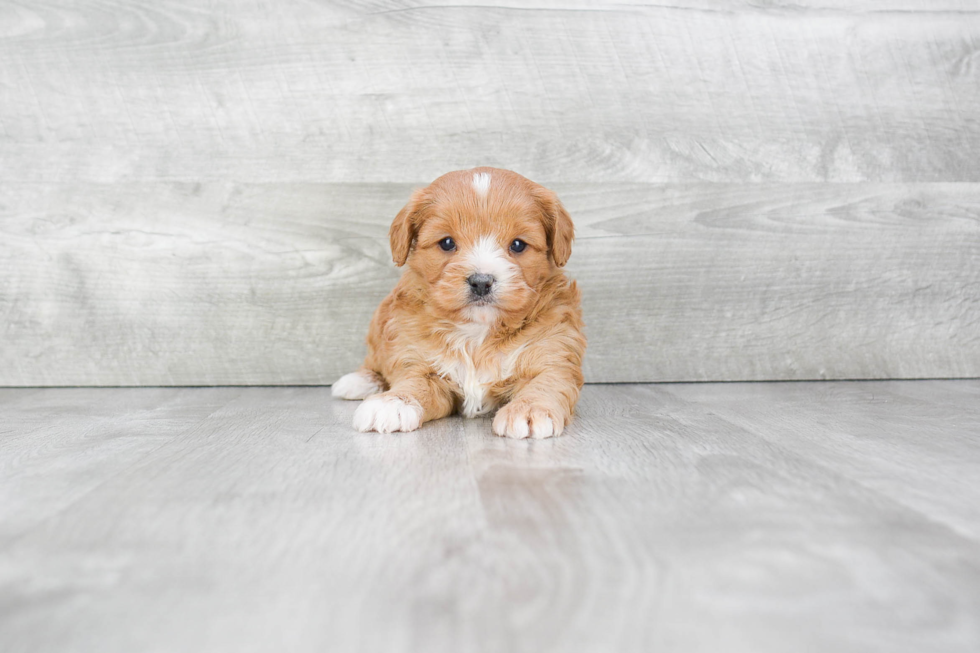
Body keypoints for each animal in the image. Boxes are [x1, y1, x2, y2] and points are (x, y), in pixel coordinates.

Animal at [334, 167, 584, 438]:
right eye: (447, 243)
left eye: (518, 245)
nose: (481, 282)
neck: (478, 332)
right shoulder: (419, 361)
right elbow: (414, 381)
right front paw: (393, 402)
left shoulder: (553, 352)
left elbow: (547, 381)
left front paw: (529, 409)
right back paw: (361, 381)